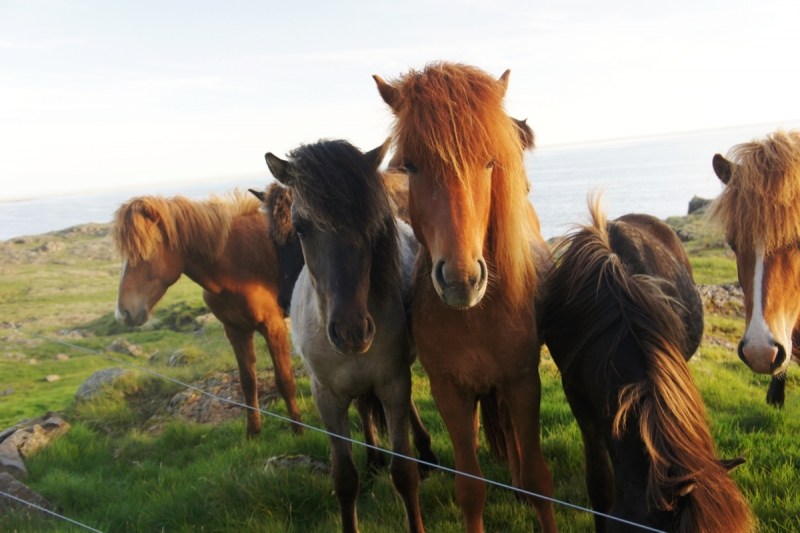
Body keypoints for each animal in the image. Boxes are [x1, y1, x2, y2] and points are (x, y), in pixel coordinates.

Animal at [111, 191, 302, 436]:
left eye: (146, 251)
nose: (123, 313)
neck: (239, 262)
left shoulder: (273, 327)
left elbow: (285, 381)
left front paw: (298, 431)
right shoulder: (236, 331)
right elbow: (248, 382)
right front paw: (253, 432)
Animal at [264, 138, 438, 532]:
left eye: (371, 224)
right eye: (300, 227)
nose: (351, 332)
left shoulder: (392, 382)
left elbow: (403, 472)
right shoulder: (326, 398)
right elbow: (344, 478)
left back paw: (425, 453)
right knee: (362, 405)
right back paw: (373, 460)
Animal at [376, 62, 556, 532]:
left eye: (490, 162)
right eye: (410, 166)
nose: (460, 280)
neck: (476, 316)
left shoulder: (524, 382)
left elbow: (540, 479)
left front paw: (529, 487)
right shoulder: (448, 391)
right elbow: (470, 489)